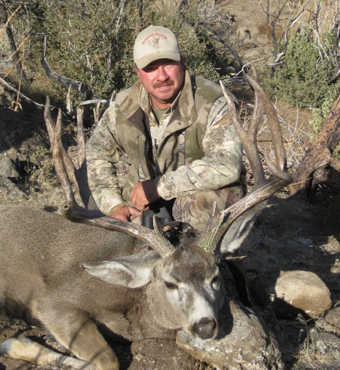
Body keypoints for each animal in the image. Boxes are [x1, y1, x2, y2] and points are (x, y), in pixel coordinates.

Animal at [0, 71, 292, 368]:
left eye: (215, 277)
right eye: (169, 283)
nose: (205, 326)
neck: (138, 308)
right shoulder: (56, 301)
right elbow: (109, 360)